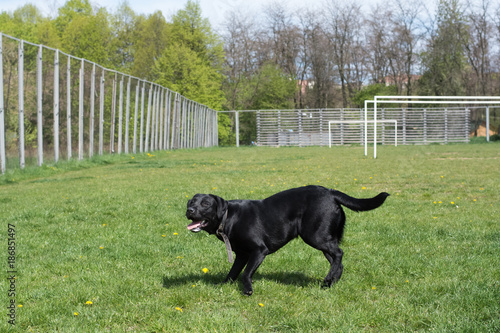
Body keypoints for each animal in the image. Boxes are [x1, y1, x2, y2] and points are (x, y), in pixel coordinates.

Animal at [186, 185, 388, 294]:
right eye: (191, 202)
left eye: (205, 204)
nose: (189, 210)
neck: (229, 217)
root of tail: (331, 193)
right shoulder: (242, 255)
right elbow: (233, 272)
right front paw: (223, 286)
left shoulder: (259, 251)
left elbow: (246, 273)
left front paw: (248, 290)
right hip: (324, 239)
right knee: (338, 261)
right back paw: (330, 283)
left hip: (316, 236)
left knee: (339, 254)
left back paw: (328, 279)